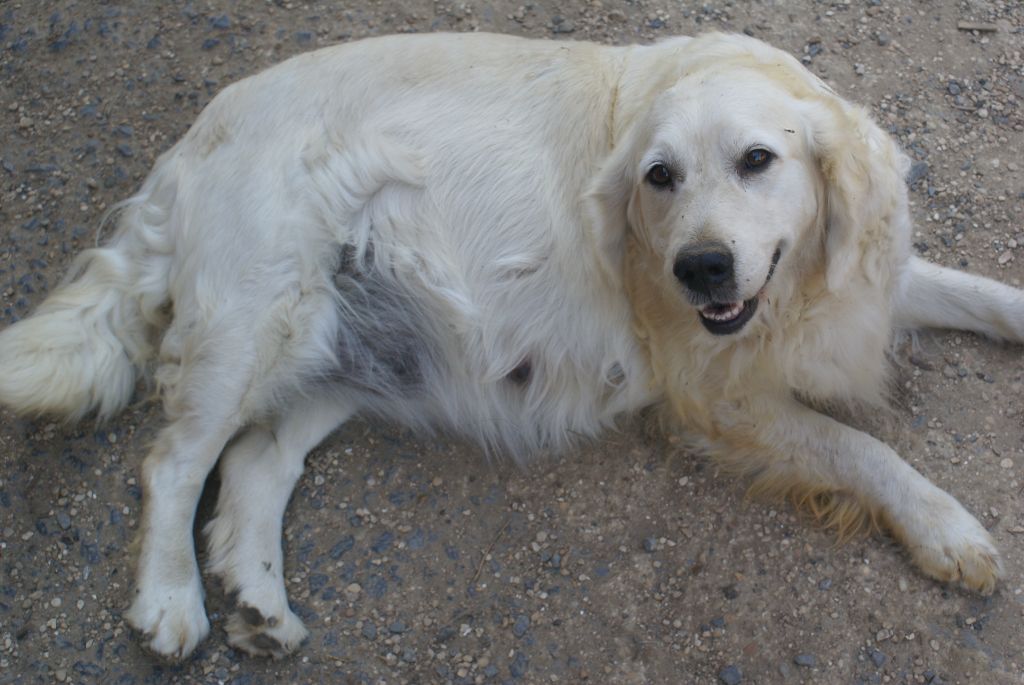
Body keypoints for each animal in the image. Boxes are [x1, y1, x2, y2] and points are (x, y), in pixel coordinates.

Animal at [0, 30, 1015, 655]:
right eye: (659, 177)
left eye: (758, 160)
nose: (701, 269)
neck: (795, 290)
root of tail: (191, 139)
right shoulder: (713, 392)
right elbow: (861, 448)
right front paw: (950, 529)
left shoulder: (868, 290)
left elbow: (986, 295)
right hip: (257, 320)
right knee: (172, 461)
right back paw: (172, 599)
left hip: (347, 350)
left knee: (256, 462)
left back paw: (259, 601)